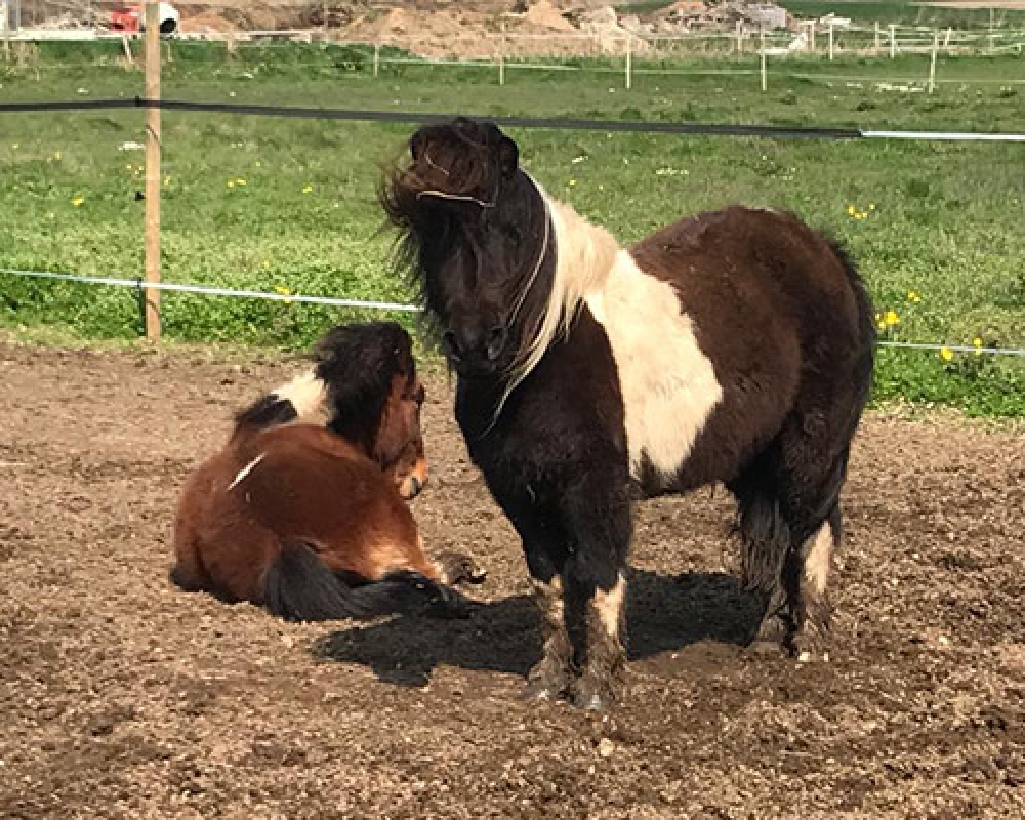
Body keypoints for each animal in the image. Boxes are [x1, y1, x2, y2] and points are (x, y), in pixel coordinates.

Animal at [381, 118, 877, 709]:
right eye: (430, 230)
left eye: (506, 228)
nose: (478, 344)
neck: (548, 350)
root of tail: (823, 250)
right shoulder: (522, 496)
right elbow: (548, 584)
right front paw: (548, 679)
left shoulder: (597, 492)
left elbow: (599, 576)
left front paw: (596, 686)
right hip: (755, 459)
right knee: (781, 534)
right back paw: (765, 636)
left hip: (811, 448)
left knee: (812, 529)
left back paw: (807, 644)